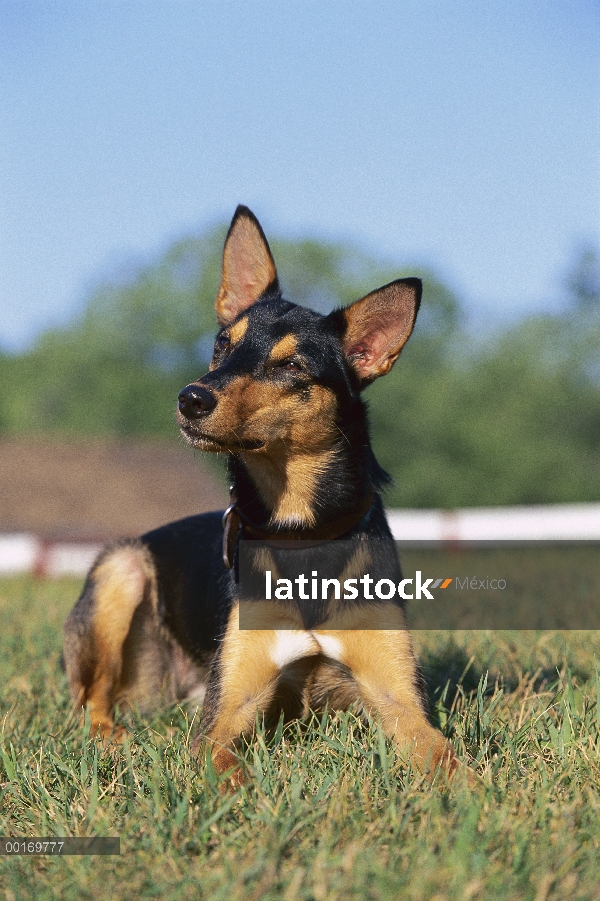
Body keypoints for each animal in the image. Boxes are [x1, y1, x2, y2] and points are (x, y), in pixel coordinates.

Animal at [63, 202, 462, 780]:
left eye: (290, 365)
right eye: (222, 345)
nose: (190, 398)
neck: (299, 530)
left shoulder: (399, 699)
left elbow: (446, 756)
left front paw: (471, 791)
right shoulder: (225, 712)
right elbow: (225, 765)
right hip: (122, 571)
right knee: (91, 701)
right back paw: (112, 739)